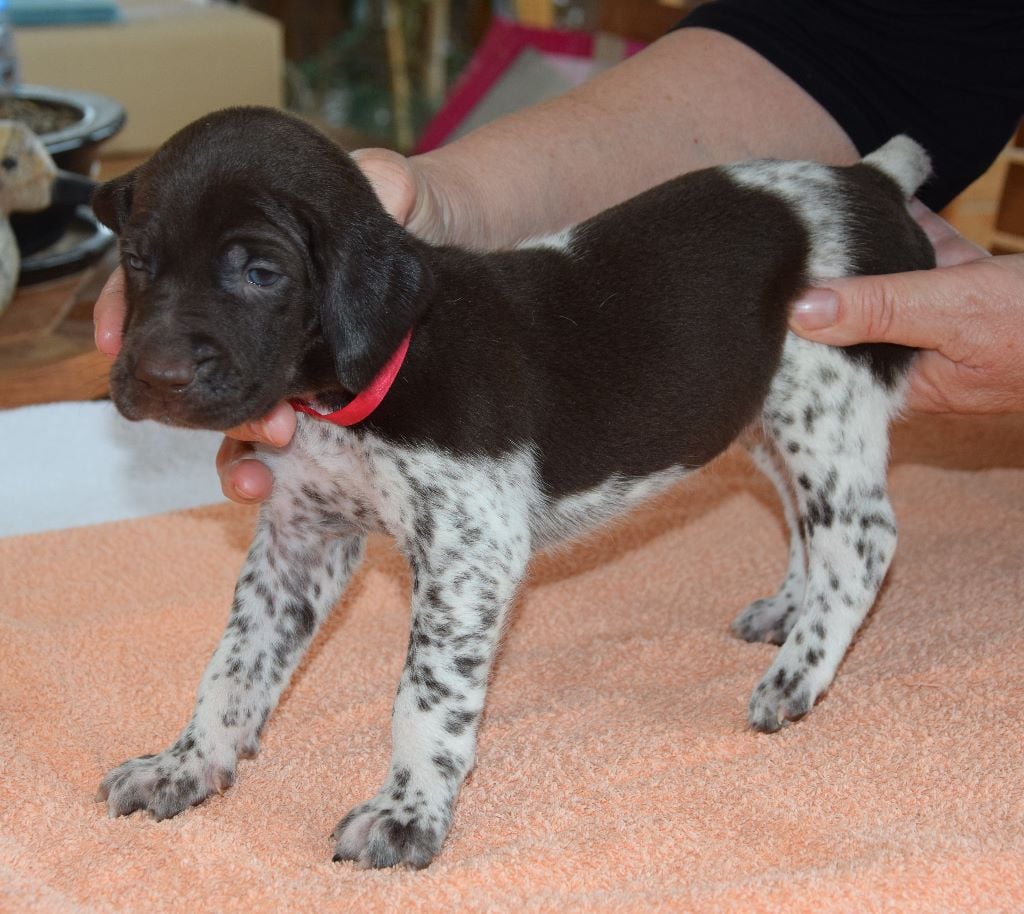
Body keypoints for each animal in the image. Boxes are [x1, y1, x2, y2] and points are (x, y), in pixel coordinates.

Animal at [93, 107, 934, 868]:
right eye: (137, 259)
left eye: (260, 273)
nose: (157, 376)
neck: (358, 386)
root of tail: (868, 179)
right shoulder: (303, 538)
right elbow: (236, 662)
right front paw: (186, 762)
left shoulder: (470, 558)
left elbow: (424, 697)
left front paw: (406, 813)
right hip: (761, 414)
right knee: (804, 520)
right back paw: (789, 612)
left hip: (825, 401)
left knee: (862, 540)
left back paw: (798, 671)